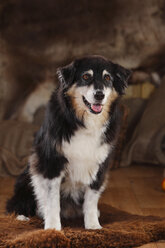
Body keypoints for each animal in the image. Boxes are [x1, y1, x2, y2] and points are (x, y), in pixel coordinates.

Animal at [6, 55, 130, 230]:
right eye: (86, 76)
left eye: (107, 78)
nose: (99, 95)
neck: (83, 121)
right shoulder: (51, 164)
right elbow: (52, 201)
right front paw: (52, 228)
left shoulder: (99, 166)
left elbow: (91, 200)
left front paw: (93, 226)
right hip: (28, 175)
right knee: (16, 203)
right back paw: (22, 217)